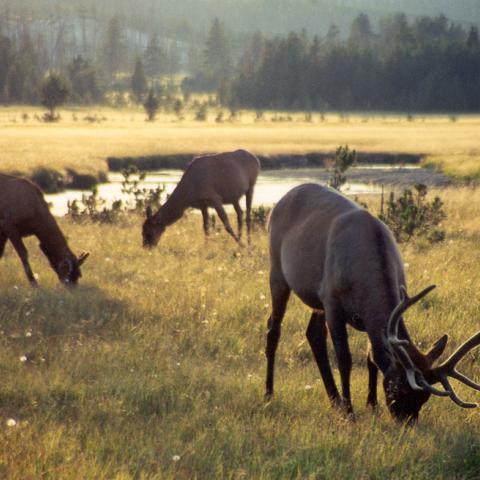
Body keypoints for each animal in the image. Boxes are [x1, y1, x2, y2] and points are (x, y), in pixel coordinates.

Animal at [266, 184, 480, 420]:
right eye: (398, 388)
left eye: (424, 398)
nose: (407, 421)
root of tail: (280, 201)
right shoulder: (332, 302)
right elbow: (345, 359)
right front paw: (350, 411)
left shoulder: (367, 316)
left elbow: (372, 357)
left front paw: (371, 404)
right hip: (277, 271)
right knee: (274, 327)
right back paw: (269, 394)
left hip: (315, 299)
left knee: (314, 334)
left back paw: (334, 399)